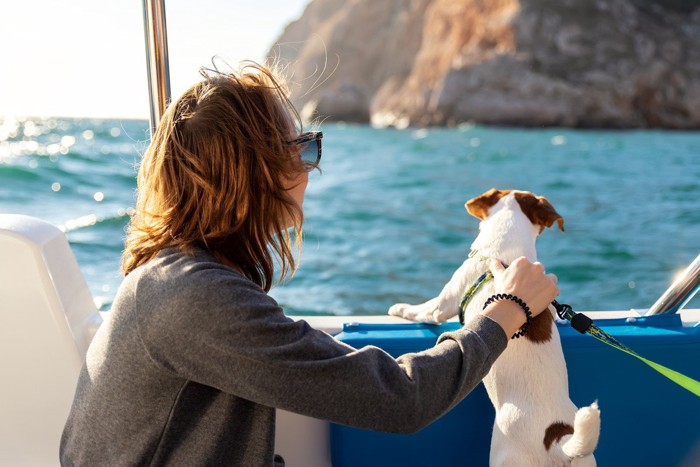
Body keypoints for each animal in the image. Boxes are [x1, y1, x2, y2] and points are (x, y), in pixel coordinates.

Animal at [388, 188, 600, 466]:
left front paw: (398, 308)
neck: (505, 253)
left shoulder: (442, 304)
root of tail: (557, 442)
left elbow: (422, 309)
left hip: (505, 455)